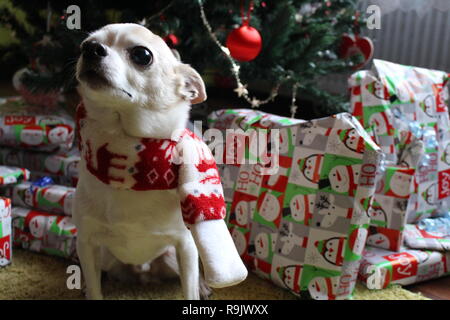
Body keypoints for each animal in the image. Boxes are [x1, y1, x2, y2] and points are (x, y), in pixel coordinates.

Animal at [73, 23, 234, 300]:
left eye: (142, 55)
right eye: (85, 44)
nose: (90, 49)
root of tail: (142, 272)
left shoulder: (185, 246)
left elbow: (188, 289)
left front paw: (197, 289)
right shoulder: (87, 241)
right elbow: (95, 290)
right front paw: (89, 287)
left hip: (173, 258)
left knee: (192, 275)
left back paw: (203, 285)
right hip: (104, 256)